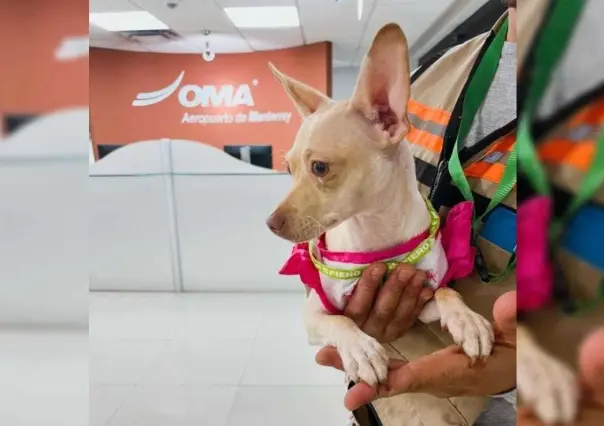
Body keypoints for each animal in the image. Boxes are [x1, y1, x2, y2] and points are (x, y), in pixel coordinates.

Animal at [266, 22, 494, 390]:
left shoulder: (421, 301)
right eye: (288, 169)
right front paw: (361, 350)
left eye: (320, 168)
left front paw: (467, 320)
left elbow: (447, 293)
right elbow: (341, 322)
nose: (270, 223)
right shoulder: (315, 312)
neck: (376, 231)